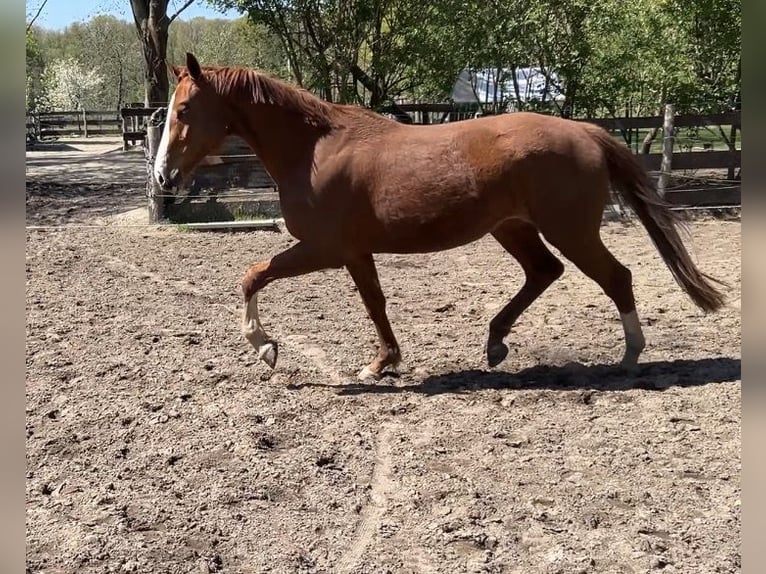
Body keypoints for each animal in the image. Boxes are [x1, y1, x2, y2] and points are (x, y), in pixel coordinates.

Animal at [154, 52, 726, 381]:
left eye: (183, 111)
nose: (162, 177)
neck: (314, 151)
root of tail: (585, 130)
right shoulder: (355, 252)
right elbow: (375, 303)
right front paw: (382, 363)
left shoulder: (324, 248)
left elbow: (252, 276)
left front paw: (265, 348)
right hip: (512, 228)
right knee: (545, 272)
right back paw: (495, 343)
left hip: (570, 229)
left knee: (615, 276)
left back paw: (629, 356)